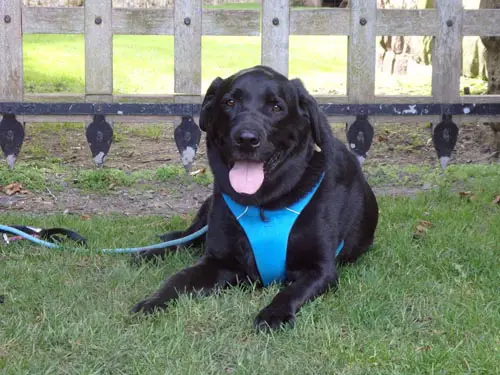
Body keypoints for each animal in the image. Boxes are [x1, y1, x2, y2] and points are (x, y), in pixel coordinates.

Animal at [131, 66, 376, 330]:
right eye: (229, 102)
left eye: (276, 107)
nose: (246, 139)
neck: (264, 205)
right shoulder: (217, 261)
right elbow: (179, 278)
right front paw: (153, 301)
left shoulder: (320, 270)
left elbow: (290, 291)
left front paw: (274, 313)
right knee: (187, 238)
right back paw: (150, 252)